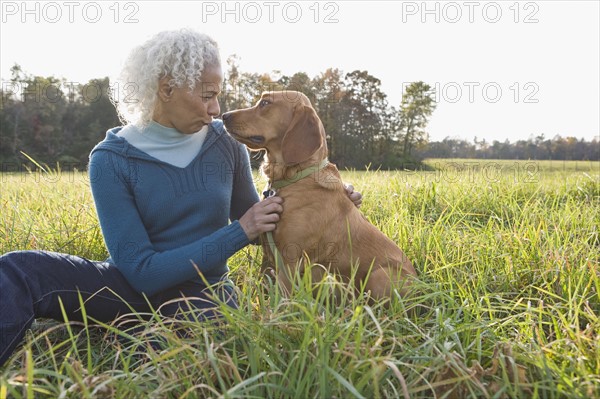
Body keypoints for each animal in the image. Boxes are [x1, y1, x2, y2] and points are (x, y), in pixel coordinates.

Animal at [223, 92, 414, 302]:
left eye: (265, 102)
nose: (224, 115)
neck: (293, 179)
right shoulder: (268, 256)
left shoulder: (289, 260)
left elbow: (281, 301)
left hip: (379, 275)